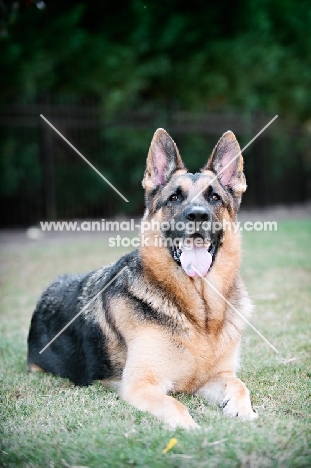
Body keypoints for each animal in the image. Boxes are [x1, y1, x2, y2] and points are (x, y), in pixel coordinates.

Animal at [28, 128, 258, 428]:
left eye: (215, 198)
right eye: (174, 198)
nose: (198, 215)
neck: (200, 316)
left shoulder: (215, 377)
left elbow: (240, 385)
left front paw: (243, 410)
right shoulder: (141, 385)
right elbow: (175, 405)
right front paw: (191, 428)